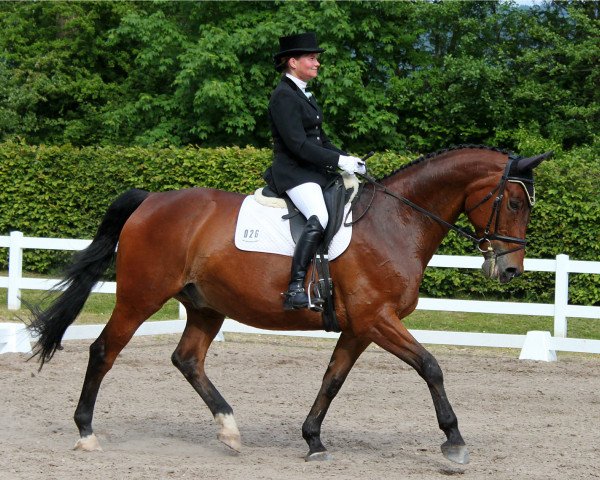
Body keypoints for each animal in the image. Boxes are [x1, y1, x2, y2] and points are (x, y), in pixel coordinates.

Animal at [29, 144, 552, 464]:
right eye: (513, 204)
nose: (509, 271)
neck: (396, 222)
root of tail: (151, 199)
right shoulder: (377, 319)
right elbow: (431, 366)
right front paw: (454, 441)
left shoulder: (359, 327)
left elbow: (333, 379)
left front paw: (313, 439)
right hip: (140, 296)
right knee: (104, 351)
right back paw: (86, 433)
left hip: (206, 305)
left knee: (187, 359)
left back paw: (230, 429)